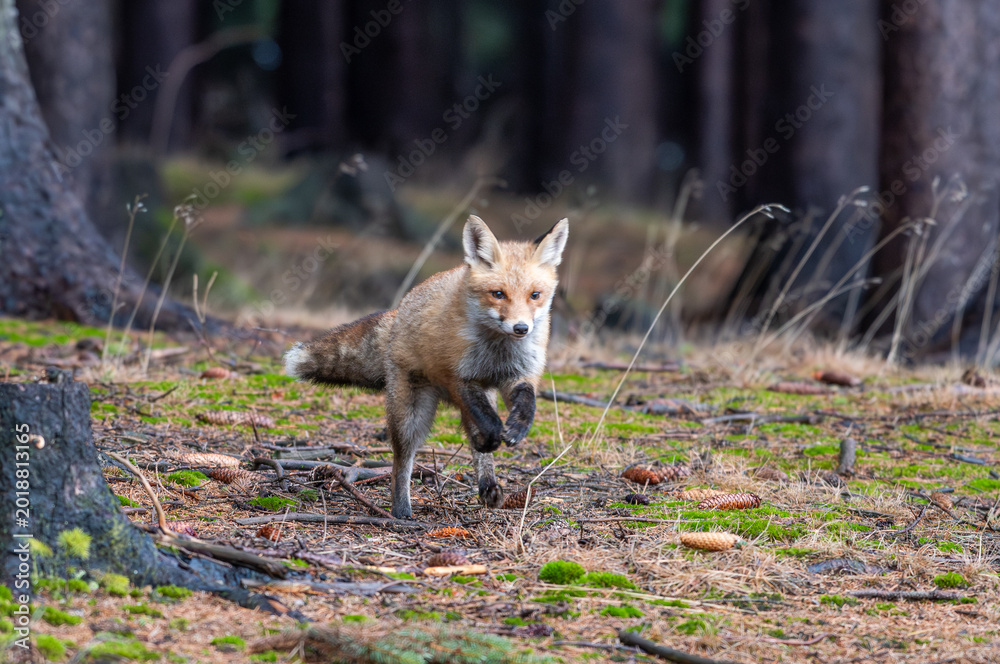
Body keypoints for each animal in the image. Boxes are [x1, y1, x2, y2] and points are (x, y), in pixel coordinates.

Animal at [284, 215, 569, 519]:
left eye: (535, 295)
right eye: (498, 294)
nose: (521, 329)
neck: (497, 351)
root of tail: (399, 312)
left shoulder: (517, 375)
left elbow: (527, 401)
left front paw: (518, 427)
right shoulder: (457, 377)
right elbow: (489, 423)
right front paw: (495, 434)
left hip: (476, 396)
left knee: (476, 446)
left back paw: (488, 485)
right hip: (410, 416)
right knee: (401, 462)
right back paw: (401, 510)